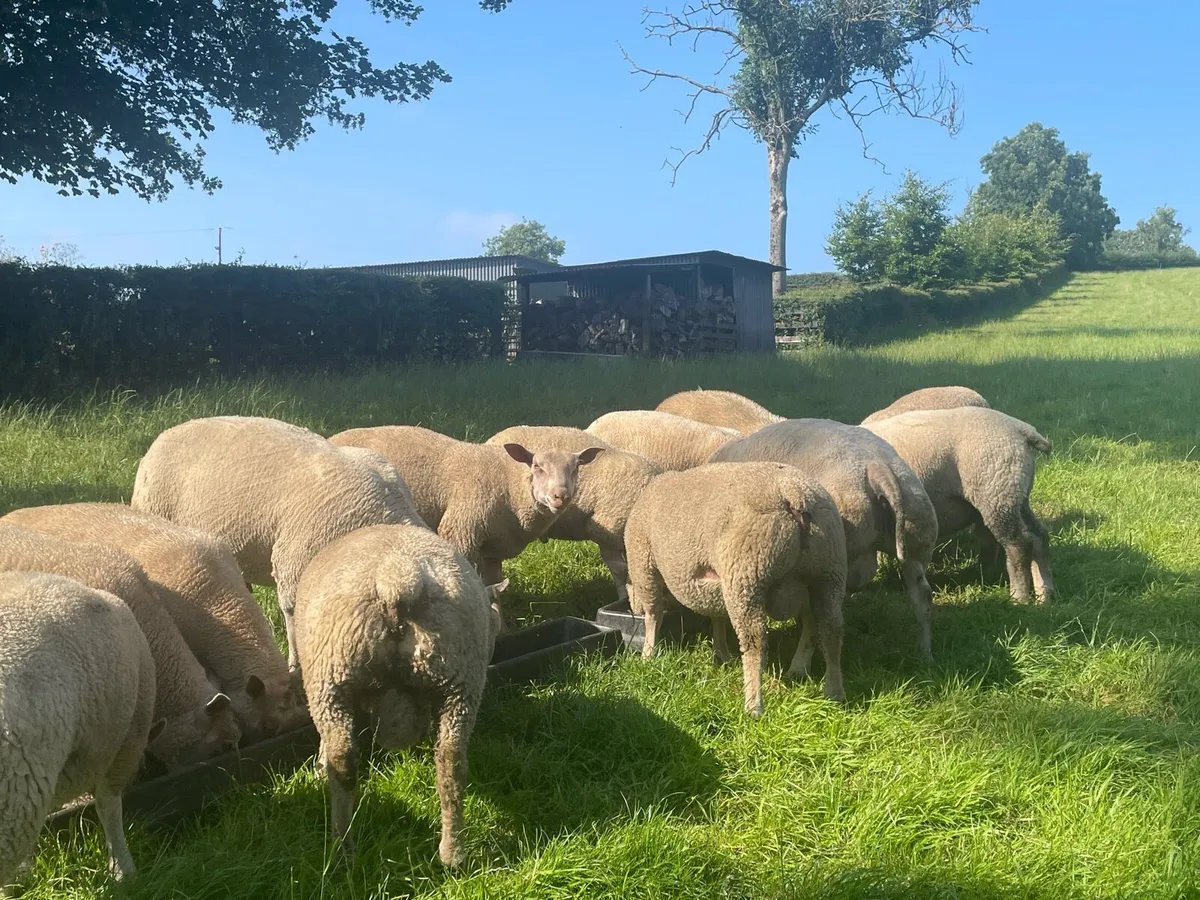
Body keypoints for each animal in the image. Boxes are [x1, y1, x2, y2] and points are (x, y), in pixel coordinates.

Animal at [294, 524, 505, 867]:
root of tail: (398, 577)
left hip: (330, 682)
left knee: (342, 762)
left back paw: (341, 848)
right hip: (460, 679)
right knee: (451, 763)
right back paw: (452, 853)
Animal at [328, 425, 603, 588]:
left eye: (577, 467)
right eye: (537, 466)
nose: (561, 496)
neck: (509, 487)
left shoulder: (492, 549)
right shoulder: (460, 531)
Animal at [624, 461, 847, 716]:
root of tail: (794, 495)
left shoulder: (644, 564)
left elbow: (653, 615)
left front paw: (648, 654)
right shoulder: (715, 587)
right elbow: (717, 617)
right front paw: (721, 653)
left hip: (747, 574)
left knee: (756, 640)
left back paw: (753, 705)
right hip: (828, 572)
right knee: (829, 629)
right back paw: (830, 689)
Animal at [710, 419, 940, 660]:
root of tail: (879, 469)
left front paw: (721, 653)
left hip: (828, 558)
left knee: (815, 617)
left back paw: (799, 664)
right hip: (917, 537)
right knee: (922, 596)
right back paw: (925, 654)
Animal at [862, 406, 1055, 602]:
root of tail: (1021, 429)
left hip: (996, 490)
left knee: (1018, 544)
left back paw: (1019, 597)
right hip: (1016, 494)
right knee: (1039, 537)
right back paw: (1045, 594)